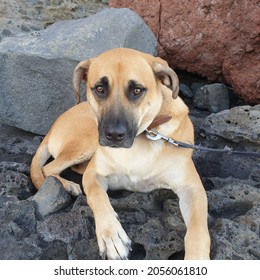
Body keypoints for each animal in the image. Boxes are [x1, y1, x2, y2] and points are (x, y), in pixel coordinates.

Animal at [30, 47, 210, 260]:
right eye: (100, 88)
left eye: (137, 90)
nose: (114, 135)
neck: (144, 136)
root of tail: (53, 126)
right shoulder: (95, 175)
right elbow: (98, 197)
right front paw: (111, 235)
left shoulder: (192, 188)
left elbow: (198, 228)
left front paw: (197, 257)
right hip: (86, 142)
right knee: (49, 169)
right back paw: (68, 185)